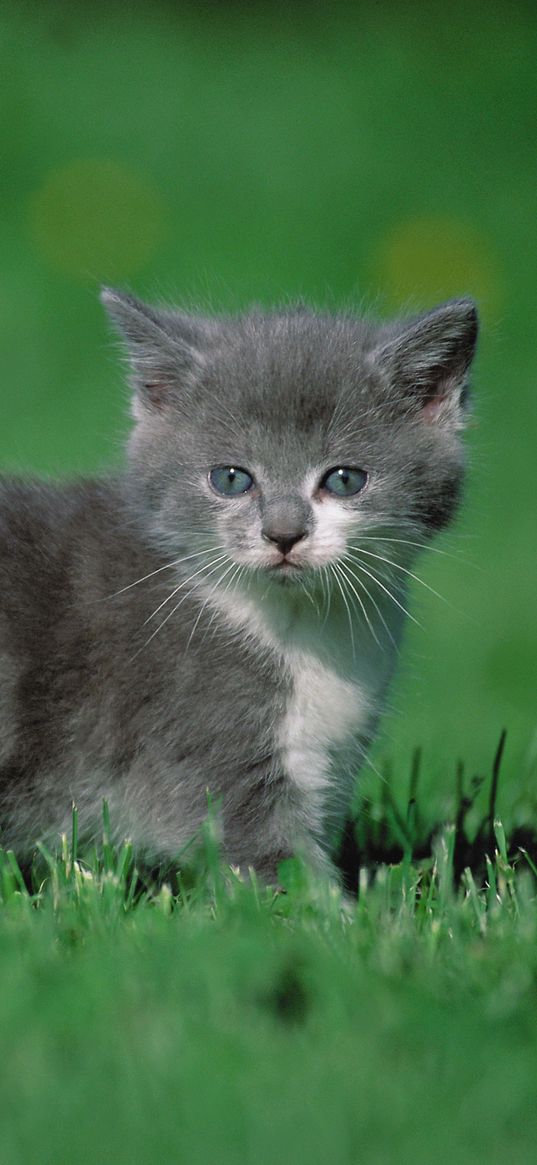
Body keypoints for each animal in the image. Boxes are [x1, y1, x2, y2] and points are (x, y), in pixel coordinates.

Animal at [0, 293, 477, 880]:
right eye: (231, 479)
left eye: (345, 480)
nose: (284, 533)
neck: (301, 627)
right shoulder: (206, 747)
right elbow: (272, 864)